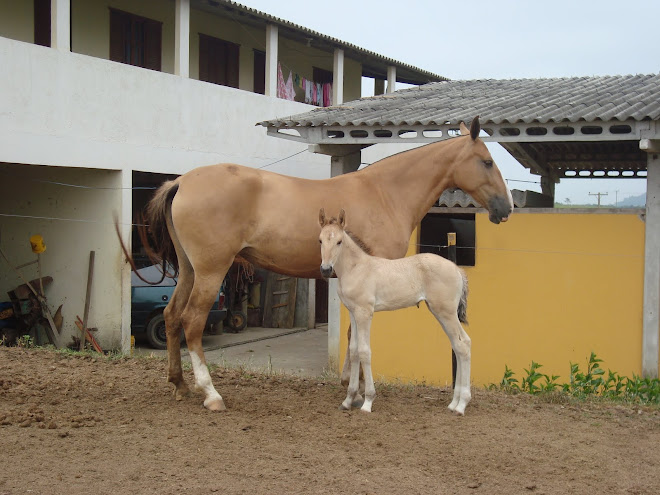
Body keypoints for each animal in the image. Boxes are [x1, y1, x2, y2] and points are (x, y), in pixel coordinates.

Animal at [318, 208, 472, 414]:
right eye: (320, 240)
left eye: (339, 241)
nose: (326, 270)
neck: (357, 268)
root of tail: (457, 269)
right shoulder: (353, 311)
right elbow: (354, 350)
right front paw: (348, 400)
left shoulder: (365, 313)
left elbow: (364, 351)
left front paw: (368, 402)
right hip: (441, 312)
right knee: (458, 344)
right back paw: (454, 403)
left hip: (446, 313)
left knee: (463, 345)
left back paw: (461, 405)